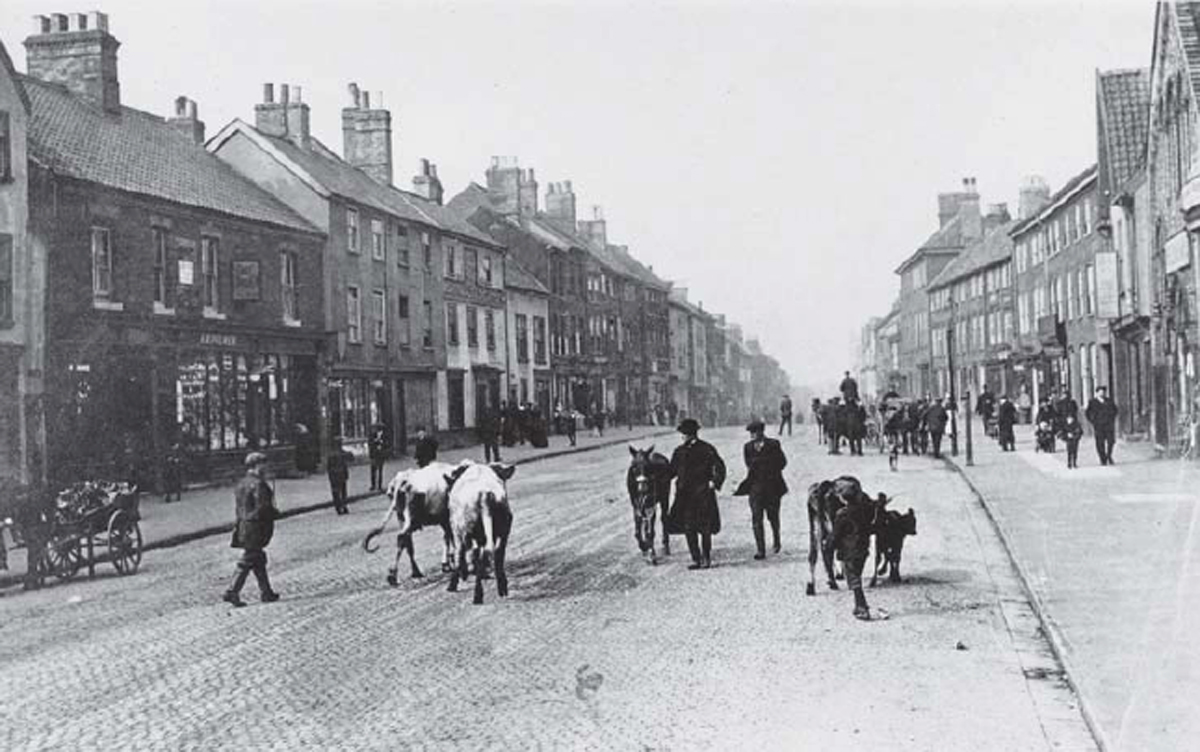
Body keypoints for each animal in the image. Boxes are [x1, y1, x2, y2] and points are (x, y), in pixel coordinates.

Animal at [360, 458, 458, 587]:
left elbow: (447, 537)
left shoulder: (444, 520)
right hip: (410, 516)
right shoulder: (447, 518)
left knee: (407, 542)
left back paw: (415, 572)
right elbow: (450, 537)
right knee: (402, 537)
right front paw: (450, 562)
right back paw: (394, 575)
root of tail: (401, 480)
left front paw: (447, 564)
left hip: (402, 517)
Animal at [444, 458, 513, 606]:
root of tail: (484, 494)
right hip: (503, 530)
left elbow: (459, 556)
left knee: (477, 556)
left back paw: (477, 595)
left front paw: (454, 583)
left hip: (470, 533)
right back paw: (502, 588)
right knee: (498, 554)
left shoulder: (457, 532)